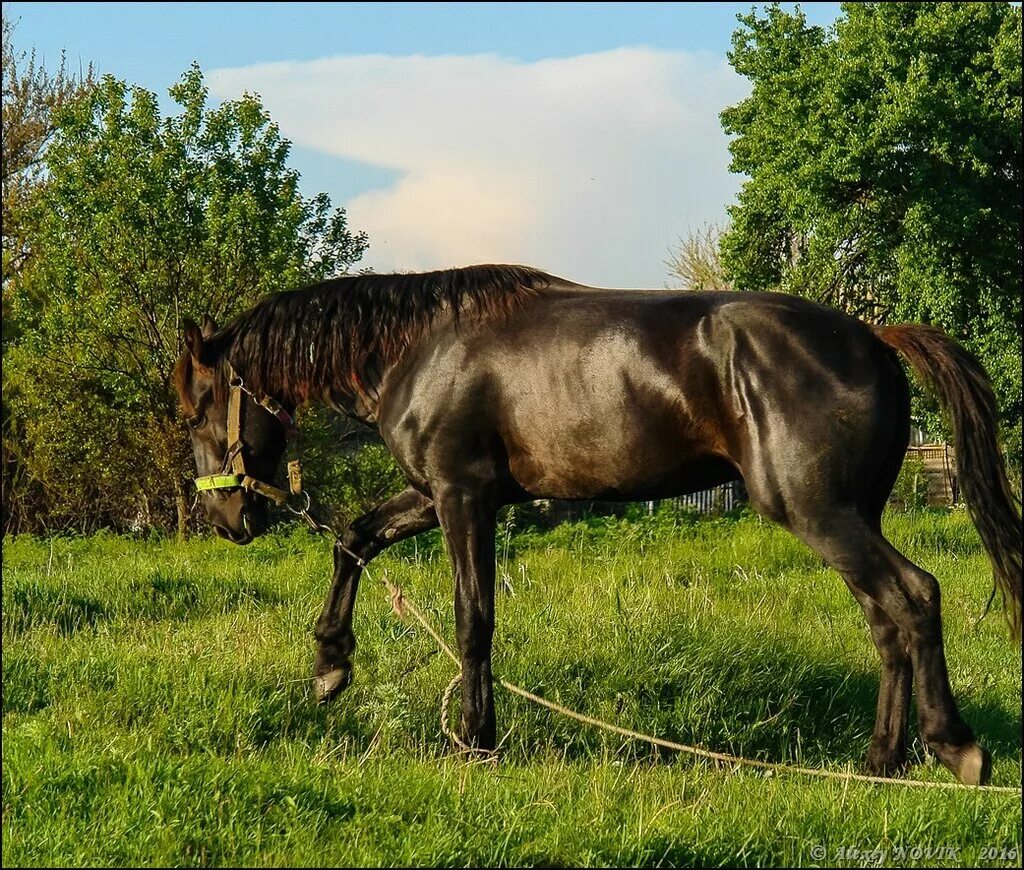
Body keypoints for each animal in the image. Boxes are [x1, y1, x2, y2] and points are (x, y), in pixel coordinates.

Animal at [172, 261, 1019, 781]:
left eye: (198, 406)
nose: (225, 517)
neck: (419, 349)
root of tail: (873, 337)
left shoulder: (461, 496)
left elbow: (473, 618)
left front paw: (476, 741)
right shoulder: (436, 493)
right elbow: (354, 539)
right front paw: (331, 663)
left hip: (817, 511)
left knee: (914, 596)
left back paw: (955, 748)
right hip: (846, 515)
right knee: (885, 620)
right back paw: (880, 760)